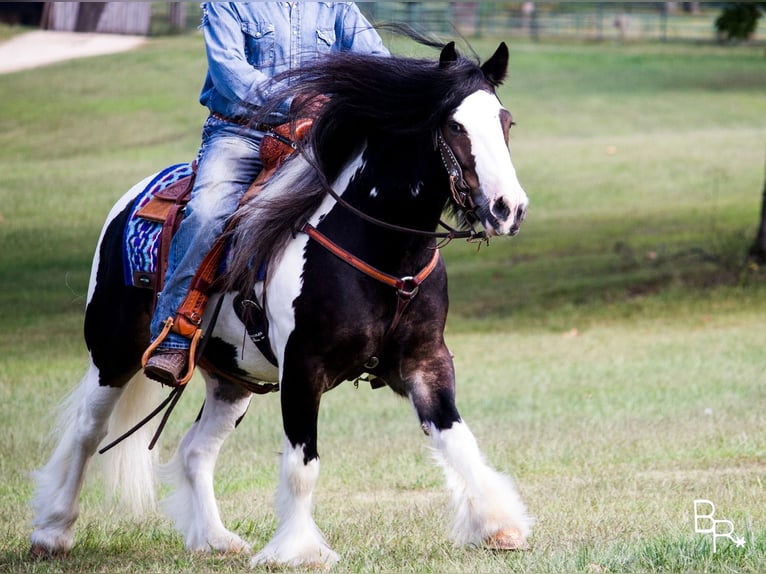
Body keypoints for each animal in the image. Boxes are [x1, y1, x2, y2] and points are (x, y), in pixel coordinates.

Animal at [30, 41, 536, 572]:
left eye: (505, 121)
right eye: (455, 126)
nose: (508, 208)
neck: (380, 248)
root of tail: (131, 201)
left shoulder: (425, 361)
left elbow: (458, 439)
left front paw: (500, 526)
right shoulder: (302, 368)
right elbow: (302, 464)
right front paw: (299, 550)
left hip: (232, 381)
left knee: (194, 451)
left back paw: (215, 539)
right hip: (112, 355)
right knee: (87, 432)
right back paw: (52, 532)